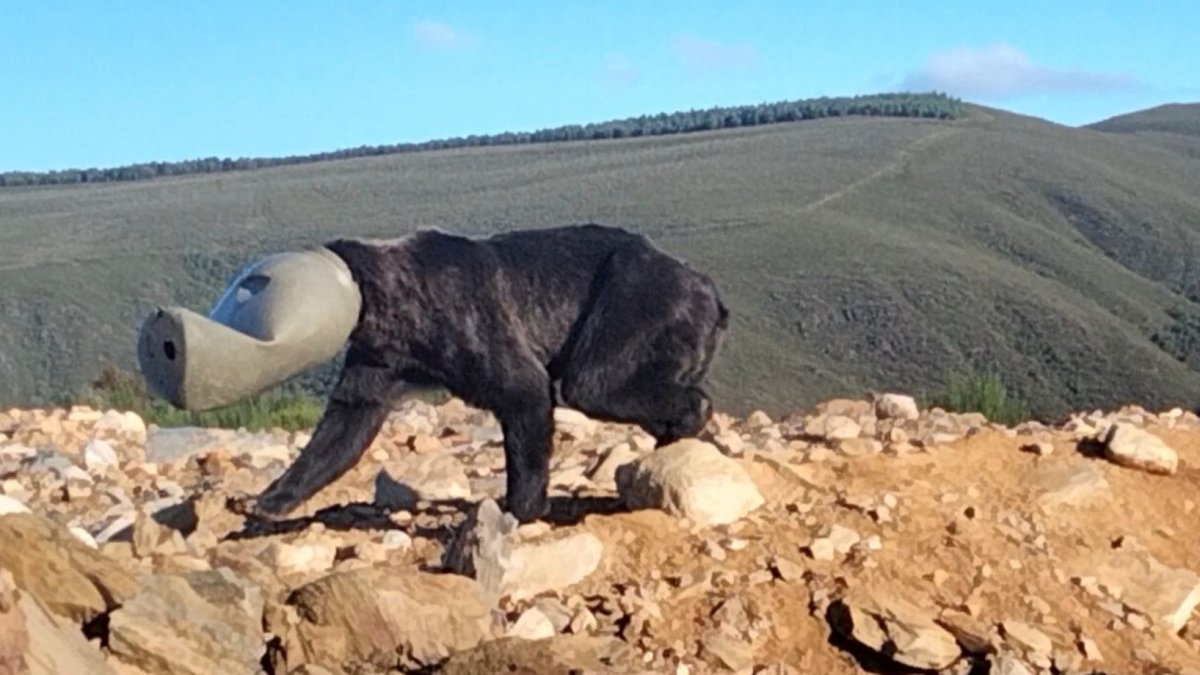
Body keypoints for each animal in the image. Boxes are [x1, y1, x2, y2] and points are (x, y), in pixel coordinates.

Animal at [238, 223, 729, 523]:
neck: (393, 311)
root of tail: (710, 289)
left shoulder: (467, 321)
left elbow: (524, 396)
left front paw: (521, 508)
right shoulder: (378, 363)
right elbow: (341, 431)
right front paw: (269, 500)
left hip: (635, 299)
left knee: (597, 381)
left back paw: (687, 422)